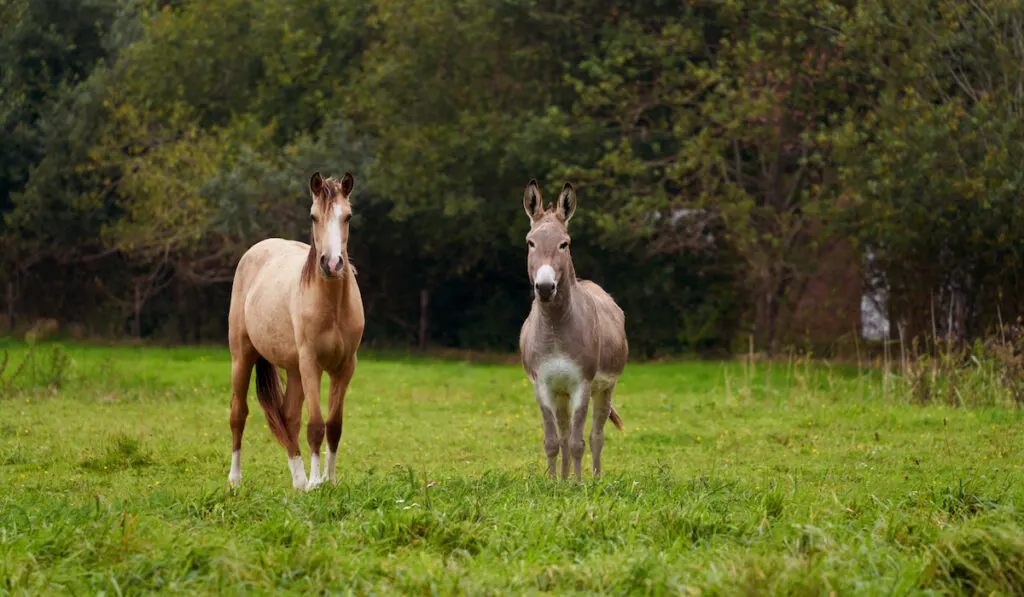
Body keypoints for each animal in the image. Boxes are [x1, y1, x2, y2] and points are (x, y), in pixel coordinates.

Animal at [227, 171, 364, 487]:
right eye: (313, 216)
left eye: (348, 216)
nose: (332, 263)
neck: (332, 306)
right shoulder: (311, 363)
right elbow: (315, 425)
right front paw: (316, 483)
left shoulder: (344, 367)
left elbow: (333, 426)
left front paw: (329, 481)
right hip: (243, 357)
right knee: (239, 413)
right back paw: (235, 480)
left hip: (293, 370)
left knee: (287, 417)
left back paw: (298, 481)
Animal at [520, 180, 622, 483]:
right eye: (530, 243)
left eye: (564, 244)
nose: (544, 288)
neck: (555, 326)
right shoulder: (543, 385)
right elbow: (553, 441)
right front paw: (554, 482)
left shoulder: (582, 385)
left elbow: (579, 442)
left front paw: (578, 484)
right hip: (560, 393)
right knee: (564, 435)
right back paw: (564, 479)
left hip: (604, 388)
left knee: (596, 436)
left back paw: (595, 478)